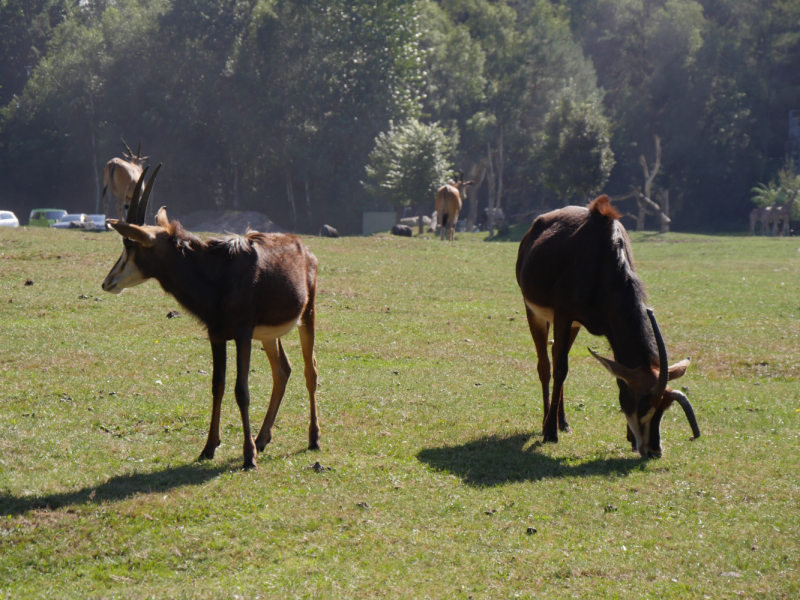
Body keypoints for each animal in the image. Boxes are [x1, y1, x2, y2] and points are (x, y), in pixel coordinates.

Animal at [101, 166, 320, 472]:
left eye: (130, 244)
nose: (107, 282)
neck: (217, 274)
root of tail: (303, 248)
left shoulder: (242, 335)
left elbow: (242, 390)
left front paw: (248, 456)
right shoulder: (216, 336)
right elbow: (218, 386)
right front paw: (209, 447)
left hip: (307, 315)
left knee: (310, 371)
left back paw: (313, 439)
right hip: (268, 335)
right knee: (282, 371)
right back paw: (263, 438)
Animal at [520, 195, 700, 458]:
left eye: (664, 408)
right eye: (642, 404)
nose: (654, 450)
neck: (602, 261)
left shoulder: (598, 327)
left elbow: (616, 375)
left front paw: (630, 439)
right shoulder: (563, 314)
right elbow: (561, 369)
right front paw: (549, 433)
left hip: (573, 325)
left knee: (555, 354)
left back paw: (563, 422)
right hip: (535, 311)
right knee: (546, 365)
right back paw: (547, 422)